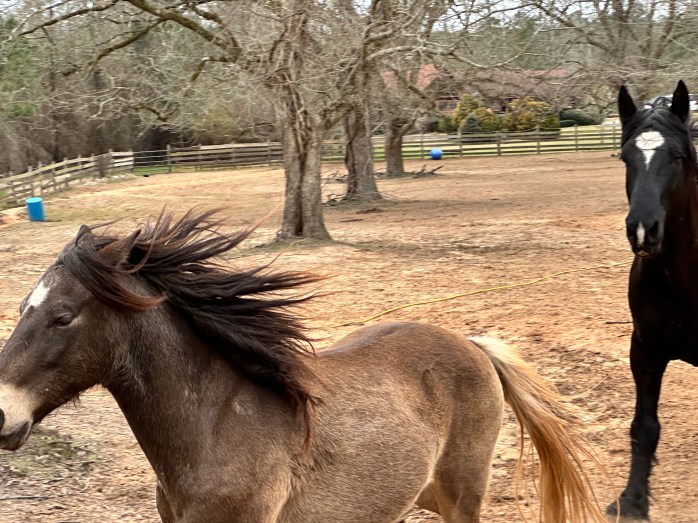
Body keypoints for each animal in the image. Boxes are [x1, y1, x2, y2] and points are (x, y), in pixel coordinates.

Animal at [0, 210, 607, 523]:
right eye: (24, 305)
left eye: (61, 316)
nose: (1, 416)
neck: (215, 428)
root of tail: (472, 345)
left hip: (463, 493)